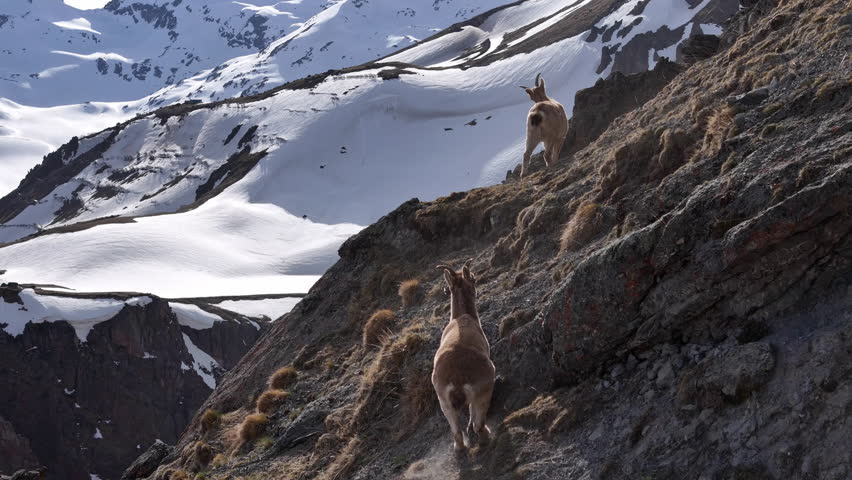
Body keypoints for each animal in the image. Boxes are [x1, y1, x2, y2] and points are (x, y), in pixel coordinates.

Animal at [432, 262, 495, 451]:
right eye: (473, 278)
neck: (462, 317)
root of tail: (456, 377)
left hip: (444, 402)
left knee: (457, 432)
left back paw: (459, 447)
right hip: (484, 389)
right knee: (478, 424)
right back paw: (487, 437)